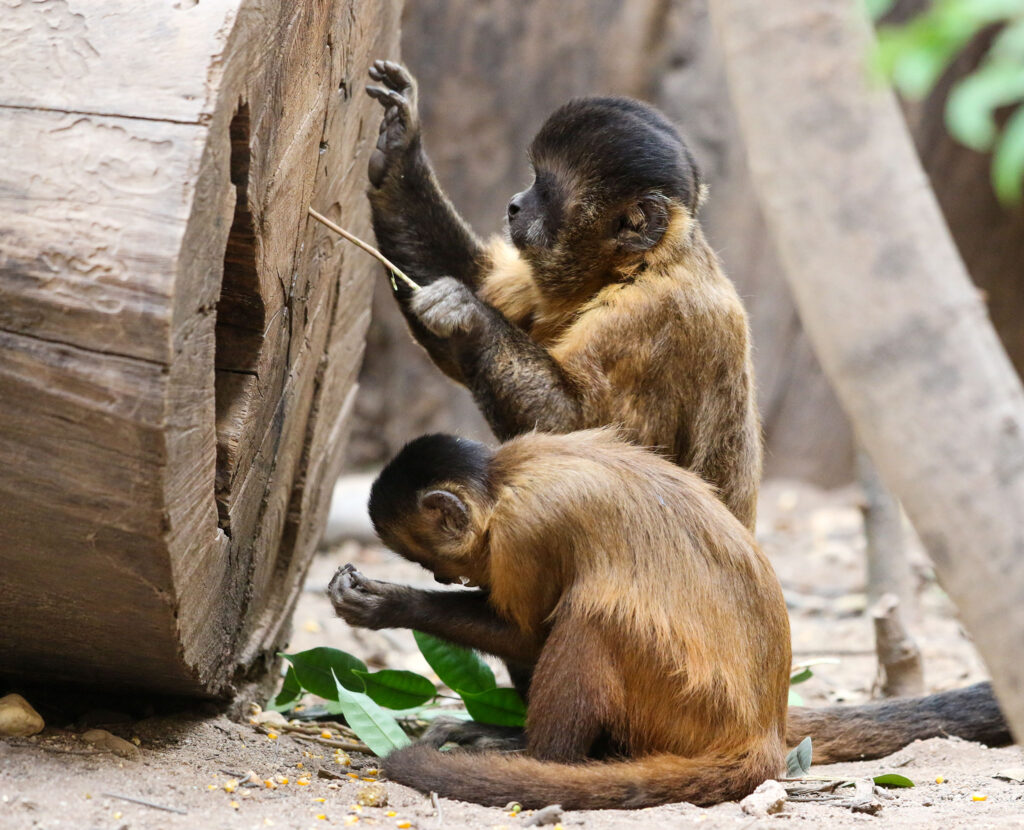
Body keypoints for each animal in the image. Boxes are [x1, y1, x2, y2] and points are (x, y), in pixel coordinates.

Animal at [329, 431, 790, 806]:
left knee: (591, 617)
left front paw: (390, 605)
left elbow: (529, 636)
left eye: (431, 563)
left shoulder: (524, 532)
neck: (505, 479)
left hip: (684, 704)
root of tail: (763, 728)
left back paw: (538, 759)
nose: (445, 578)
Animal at [362, 63, 761, 532]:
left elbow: (587, 431)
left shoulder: (658, 314)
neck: (635, 267)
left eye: (545, 192)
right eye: (533, 182)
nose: (515, 204)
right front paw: (400, 150)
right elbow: (478, 287)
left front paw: (469, 319)